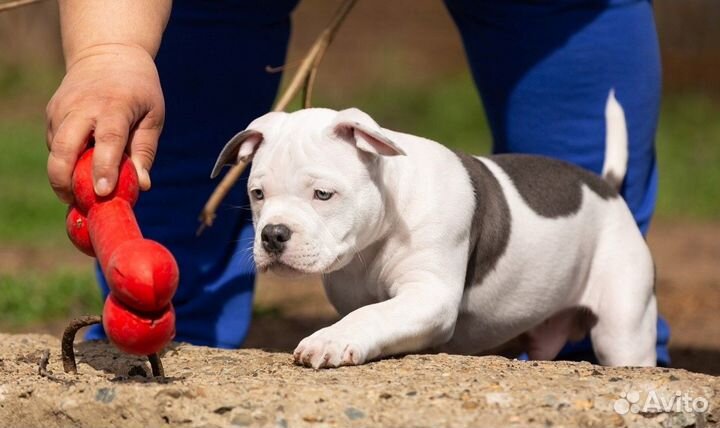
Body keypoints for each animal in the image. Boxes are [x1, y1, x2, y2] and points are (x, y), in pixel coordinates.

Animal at [211, 89, 656, 368]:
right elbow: (371, 311)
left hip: (624, 325)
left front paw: (329, 341)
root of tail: (605, 186)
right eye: (257, 194)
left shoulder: (430, 296)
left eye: (323, 194)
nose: (274, 234)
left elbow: (374, 314)